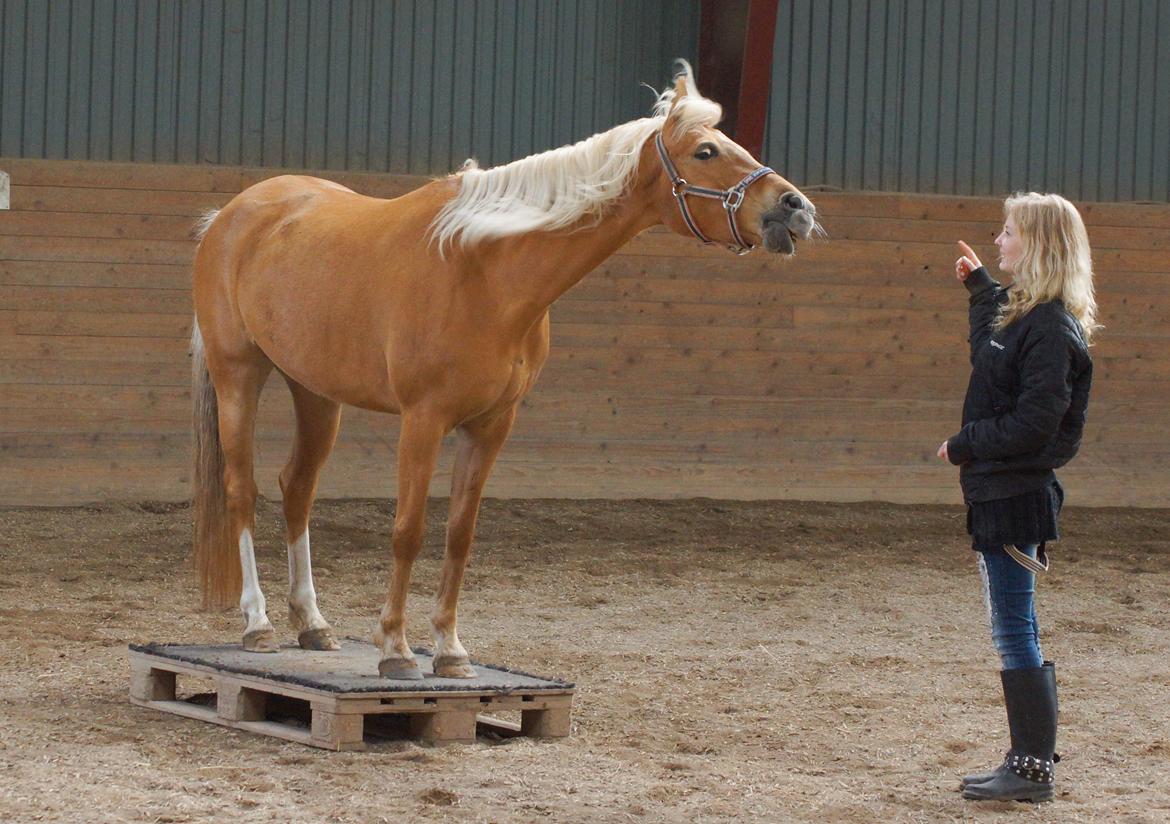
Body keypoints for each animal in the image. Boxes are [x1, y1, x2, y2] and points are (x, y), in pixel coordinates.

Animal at [189, 64, 814, 678]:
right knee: (242, 489)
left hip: (316, 392)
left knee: (297, 489)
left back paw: (313, 624)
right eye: (706, 151)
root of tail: (230, 215)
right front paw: (396, 649)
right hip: (239, 375)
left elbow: (460, 534)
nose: (795, 208)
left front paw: (449, 650)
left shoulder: (492, 425)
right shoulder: (423, 420)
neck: (482, 271)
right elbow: (408, 531)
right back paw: (258, 624)